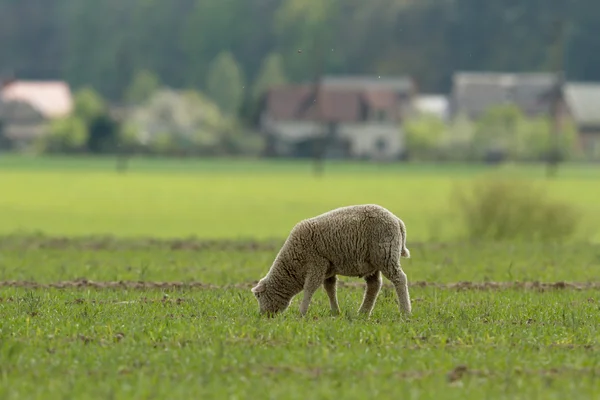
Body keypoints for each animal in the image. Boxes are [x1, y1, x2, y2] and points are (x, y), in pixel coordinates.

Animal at [250, 205, 412, 318]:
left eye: (259, 297)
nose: (263, 316)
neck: (294, 263)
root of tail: (398, 221)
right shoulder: (328, 268)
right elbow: (330, 288)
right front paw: (335, 312)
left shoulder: (317, 263)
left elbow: (309, 288)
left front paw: (302, 313)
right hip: (373, 262)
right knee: (374, 285)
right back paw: (363, 313)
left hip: (386, 254)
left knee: (400, 279)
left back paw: (405, 312)